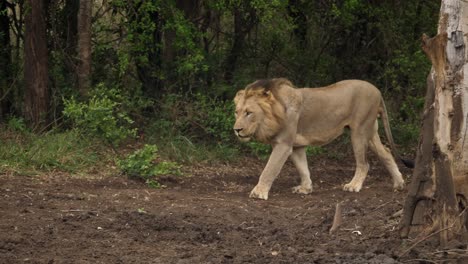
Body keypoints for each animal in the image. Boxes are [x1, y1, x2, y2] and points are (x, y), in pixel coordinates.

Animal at [232, 78, 412, 200]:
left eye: (249, 113)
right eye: (237, 112)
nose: (236, 130)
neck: (274, 113)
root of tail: (378, 91)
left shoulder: (283, 145)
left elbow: (269, 169)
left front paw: (259, 192)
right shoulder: (296, 146)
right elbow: (303, 168)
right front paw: (305, 189)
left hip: (359, 132)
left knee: (364, 164)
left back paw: (353, 186)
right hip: (370, 131)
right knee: (386, 153)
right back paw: (399, 184)